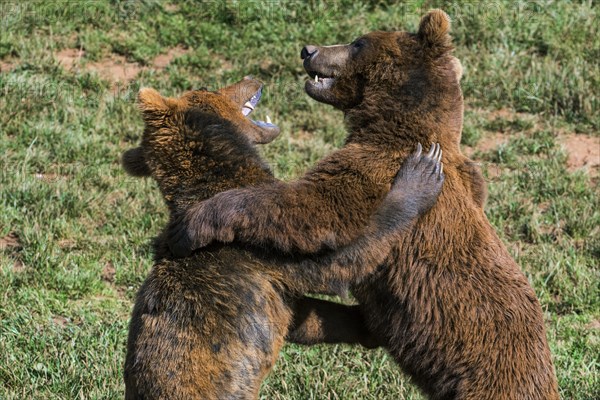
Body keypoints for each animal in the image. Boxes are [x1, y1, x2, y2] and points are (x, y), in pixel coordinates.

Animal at [166, 10, 560, 400]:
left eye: (357, 42)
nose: (308, 49)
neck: (395, 123)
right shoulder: (469, 175)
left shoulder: (376, 167)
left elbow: (313, 209)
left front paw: (195, 222)